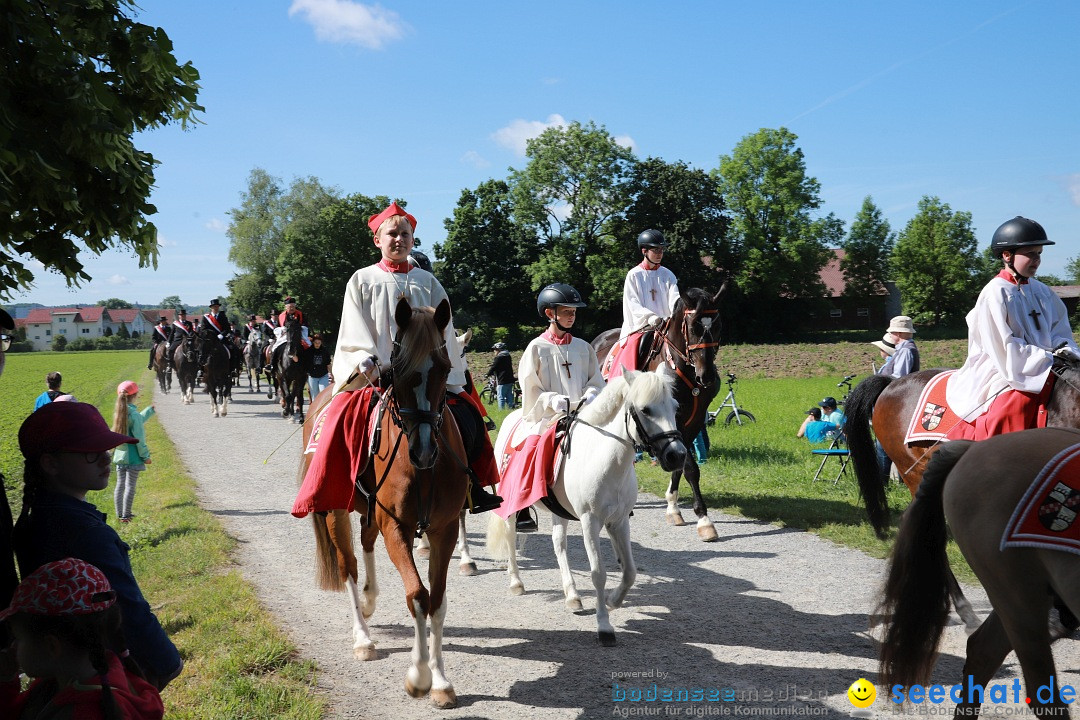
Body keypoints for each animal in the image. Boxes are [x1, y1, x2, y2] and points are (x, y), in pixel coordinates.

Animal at [298, 297, 466, 708]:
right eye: (399, 370)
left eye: (444, 368)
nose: (424, 450)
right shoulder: (397, 527)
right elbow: (418, 596)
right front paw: (419, 676)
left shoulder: (444, 531)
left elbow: (437, 601)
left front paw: (441, 681)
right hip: (335, 512)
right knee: (348, 565)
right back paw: (362, 637)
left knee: (366, 542)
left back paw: (370, 600)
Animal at [488, 369, 686, 643]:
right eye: (645, 409)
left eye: (675, 407)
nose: (678, 456)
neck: (604, 460)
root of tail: (513, 417)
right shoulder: (590, 521)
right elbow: (598, 573)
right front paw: (604, 625)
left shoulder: (619, 521)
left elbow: (630, 572)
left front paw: (613, 601)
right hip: (510, 505)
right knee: (509, 538)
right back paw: (516, 581)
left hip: (559, 513)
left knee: (558, 545)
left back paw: (572, 595)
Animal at [591, 284, 725, 544]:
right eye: (692, 327)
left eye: (717, 325)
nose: (706, 376)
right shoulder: (674, 423)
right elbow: (690, 468)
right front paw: (704, 520)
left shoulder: (690, 423)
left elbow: (681, 464)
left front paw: (674, 508)